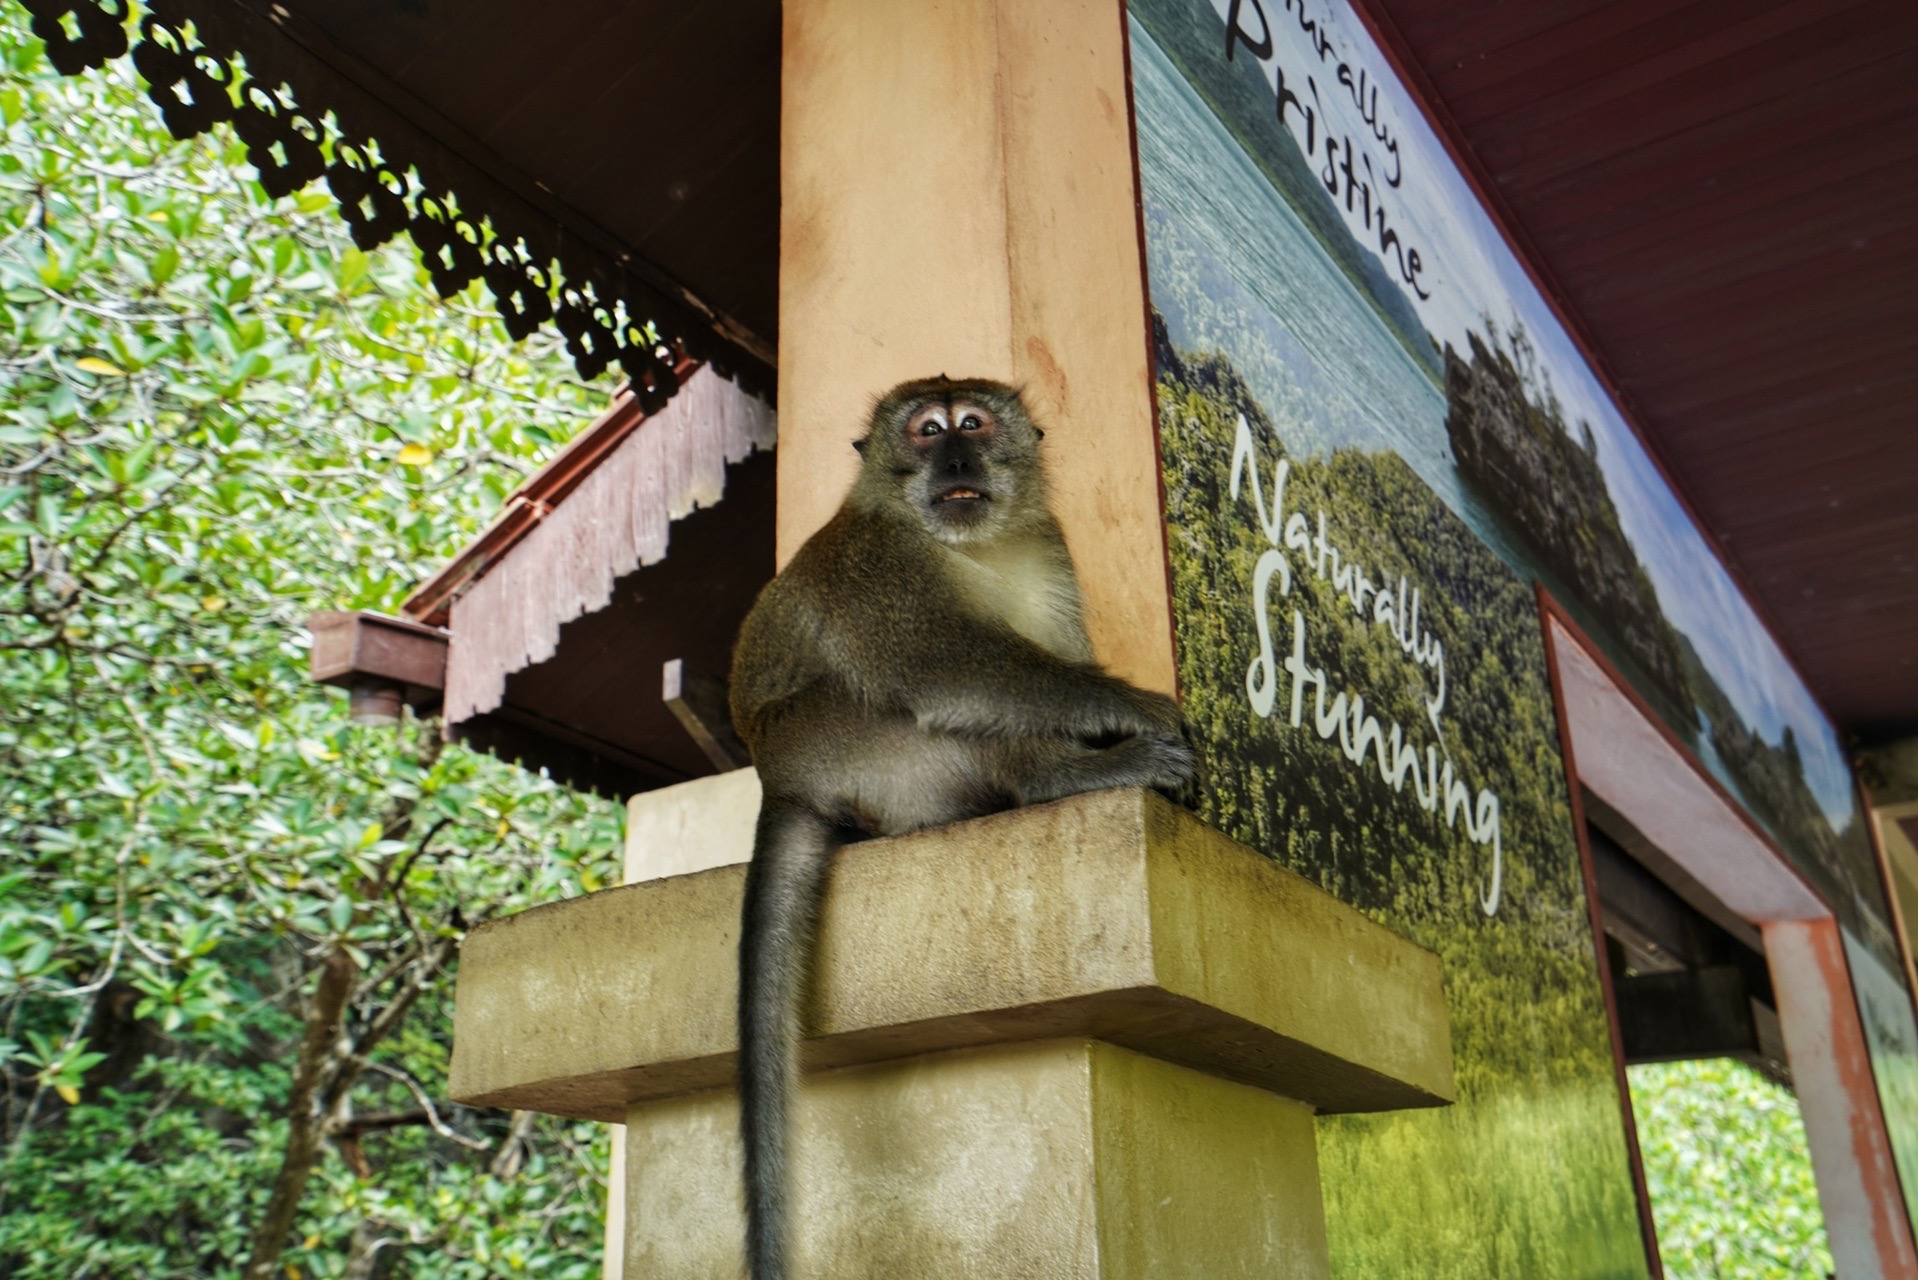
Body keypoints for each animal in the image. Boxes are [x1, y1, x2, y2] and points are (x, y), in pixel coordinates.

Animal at [725, 376, 1189, 1274]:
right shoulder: (881, 567)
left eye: (971, 424)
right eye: (926, 430)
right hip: (846, 748)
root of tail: (780, 782)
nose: (956, 458)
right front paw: (1133, 709)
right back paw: (1053, 776)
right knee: (912, 697)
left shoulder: (1049, 549)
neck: (971, 545)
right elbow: (946, 667)